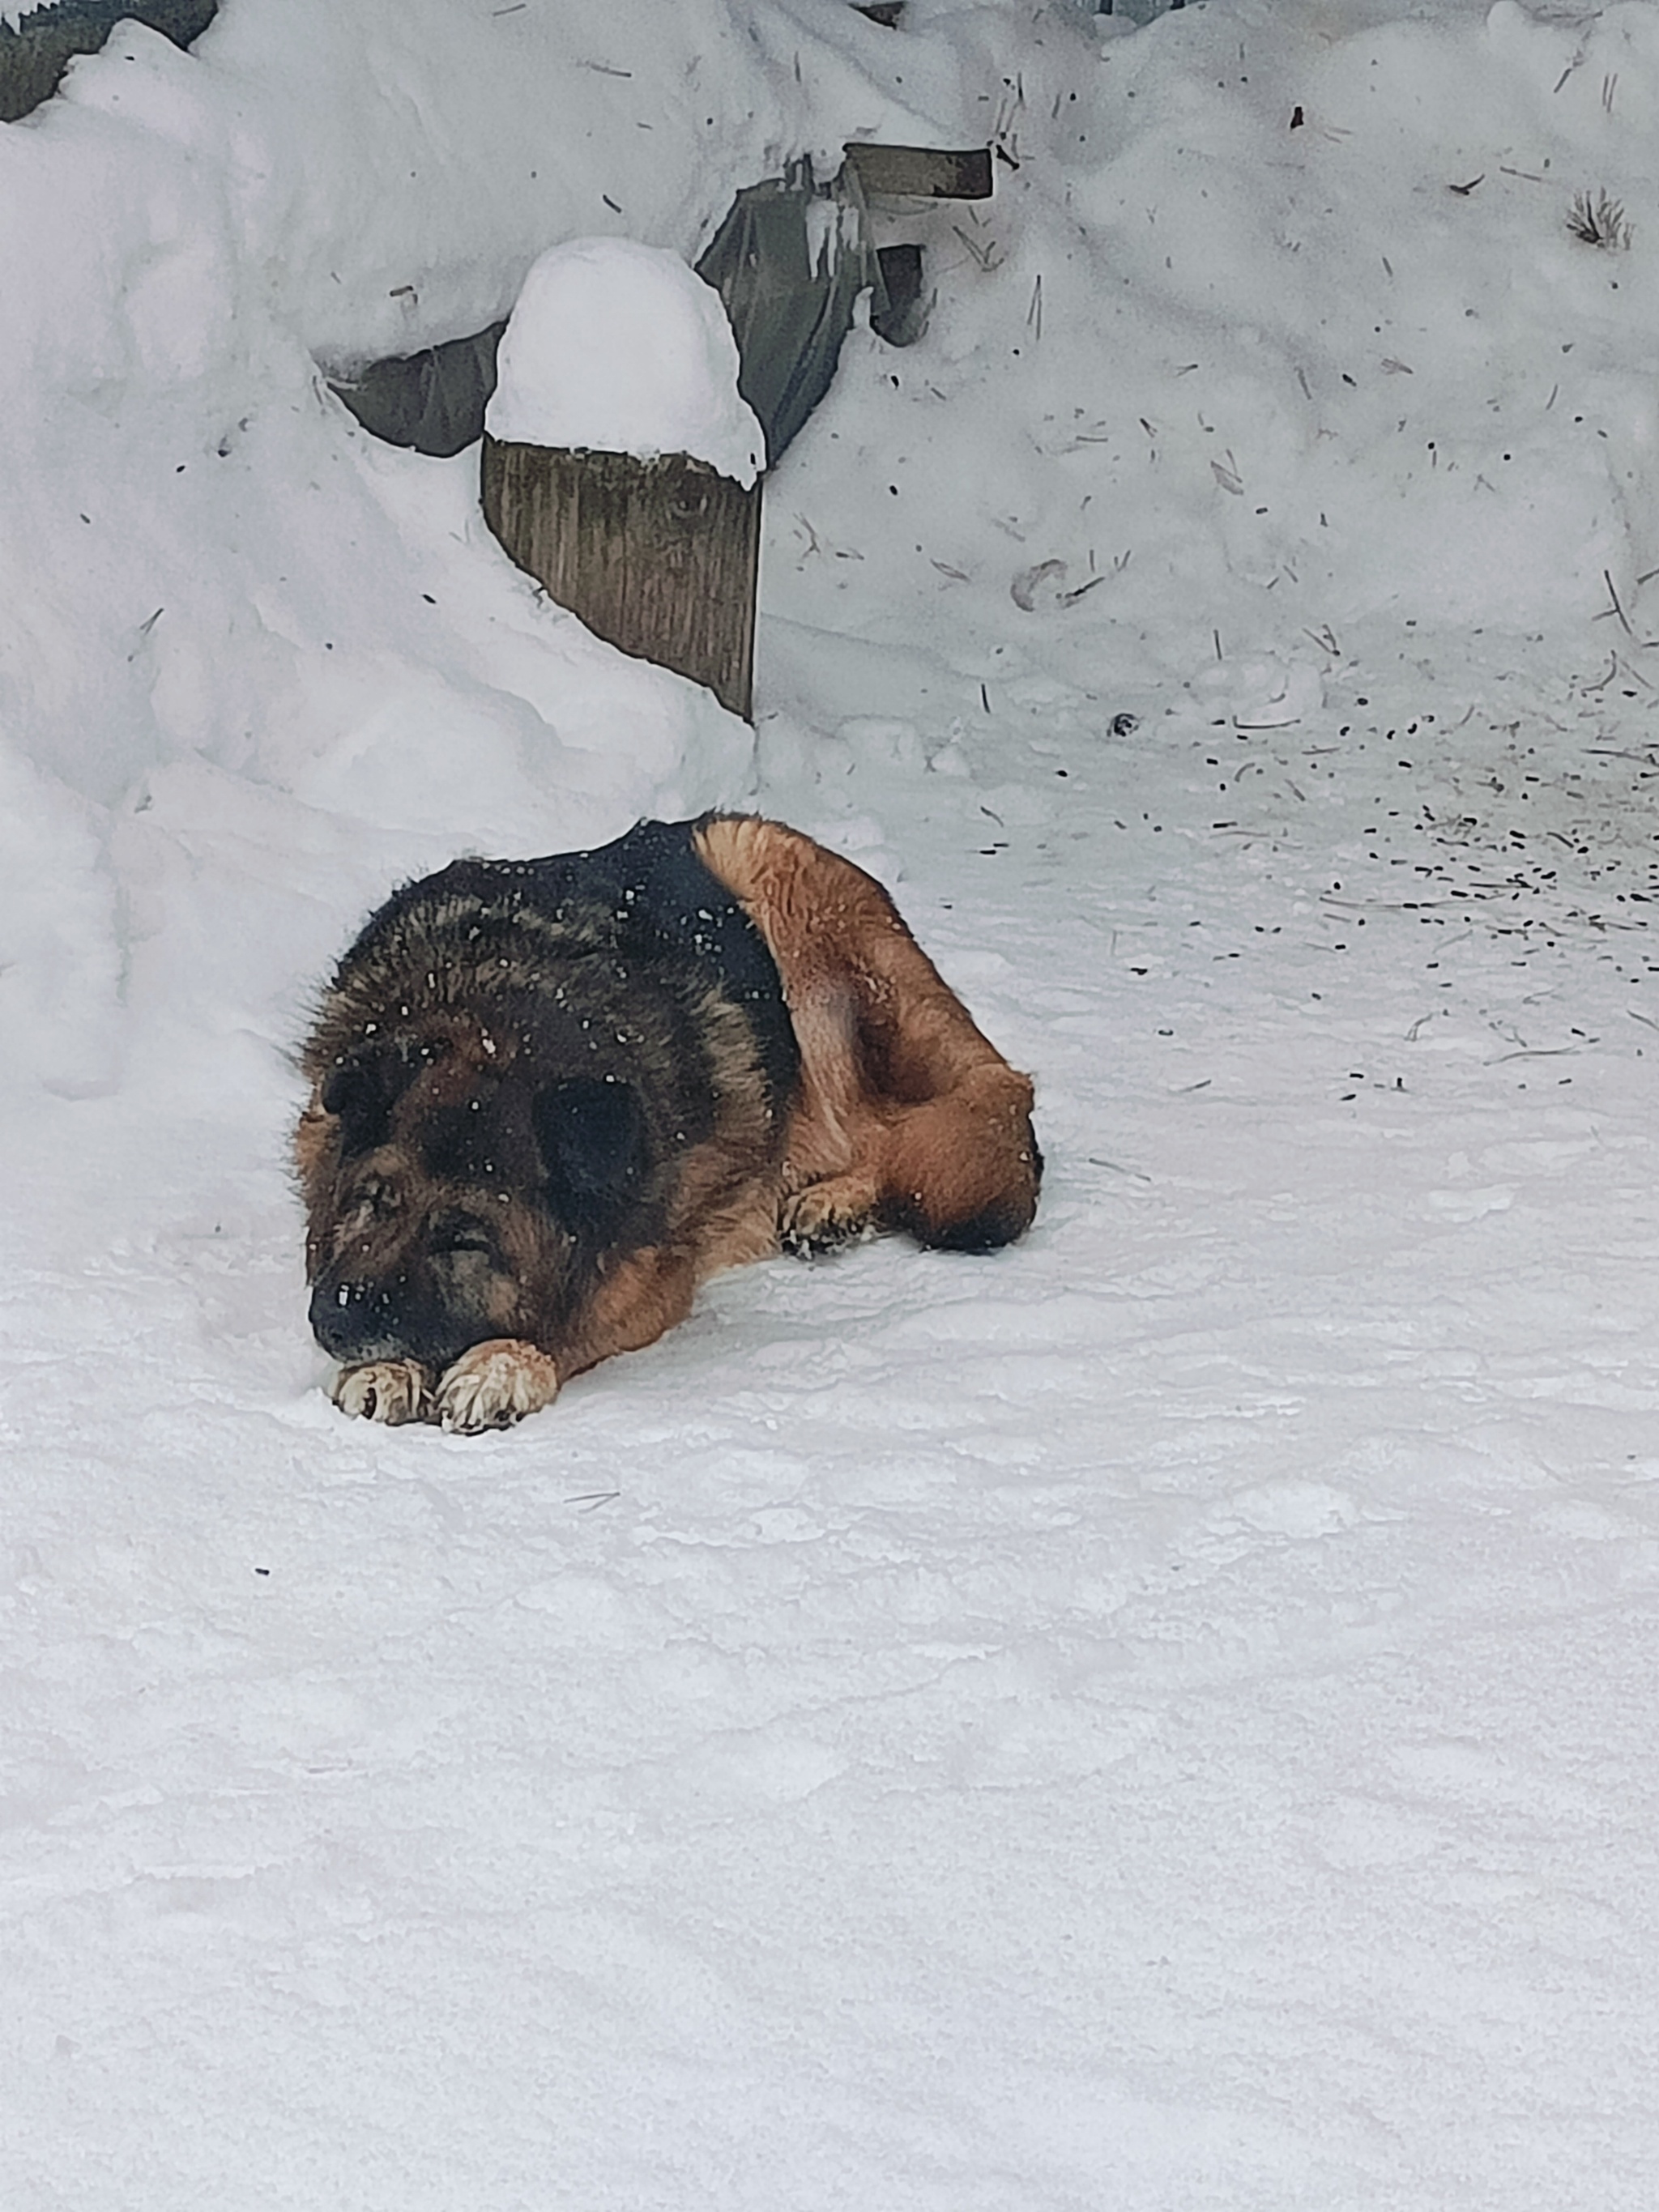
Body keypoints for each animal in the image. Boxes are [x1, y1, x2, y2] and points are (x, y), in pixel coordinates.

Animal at [298, 818, 1039, 1433]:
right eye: (374, 1200)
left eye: (466, 1239)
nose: (328, 1316)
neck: (500, 1014)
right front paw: (386, 1367)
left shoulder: (657, 1268)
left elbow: (581, 1313)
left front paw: (506, 1362)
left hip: (791, 916)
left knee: (899, 1127)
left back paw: (836, 1199)